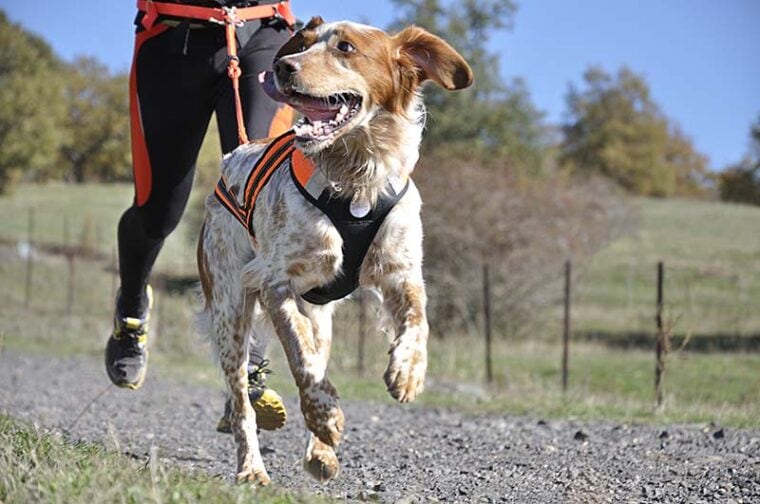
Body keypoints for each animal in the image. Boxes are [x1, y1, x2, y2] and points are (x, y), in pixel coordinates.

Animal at [197, 16, 470, 484]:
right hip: (230, 309)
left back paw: (319, 454)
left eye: (345, 47)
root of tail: (235, 154)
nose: (283, 67)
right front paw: (325, 416)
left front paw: (408, 372)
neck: (357, 179)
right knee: (243, 403)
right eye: (303, 44)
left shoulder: (401, 273)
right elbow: (302, 361)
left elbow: (418, 323)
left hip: (319, 315)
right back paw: (253, 468)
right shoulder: (276, 284)